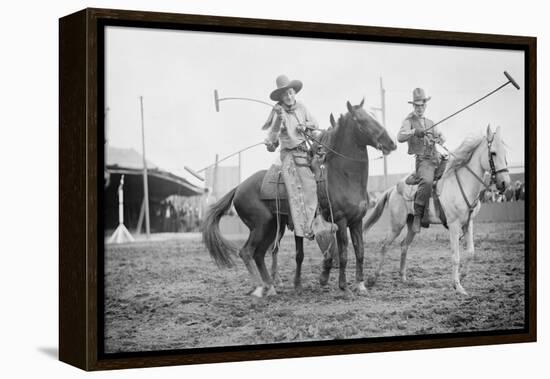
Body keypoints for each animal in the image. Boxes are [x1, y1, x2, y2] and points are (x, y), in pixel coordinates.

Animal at [203, 100, 396, 300]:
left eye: (373, 116)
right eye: (361, 120)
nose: (391, 142)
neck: (342, 177)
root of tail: (238, 187)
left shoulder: (356, 221)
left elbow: (360, 252)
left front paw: (360, 285)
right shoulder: (341, 221)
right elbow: (343, 254)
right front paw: (344, 287)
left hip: (272, 227)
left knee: (259, 254)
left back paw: (270, 287)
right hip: (260, 226)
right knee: (247, 252)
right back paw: (259, 287)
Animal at [366, 126, 512, 296]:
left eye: (505, 153)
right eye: (493, 152)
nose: (505, 183)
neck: (463, 183)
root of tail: (393, 189)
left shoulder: (468, 223)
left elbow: (470, 252)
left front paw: (462, 276)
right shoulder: (454, 225)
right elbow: (455, 256)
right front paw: (458, 286)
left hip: (412, 224)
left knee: (403, 245)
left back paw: (403, 278)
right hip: (397, 224)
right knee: (384, 246)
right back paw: (372, 279)